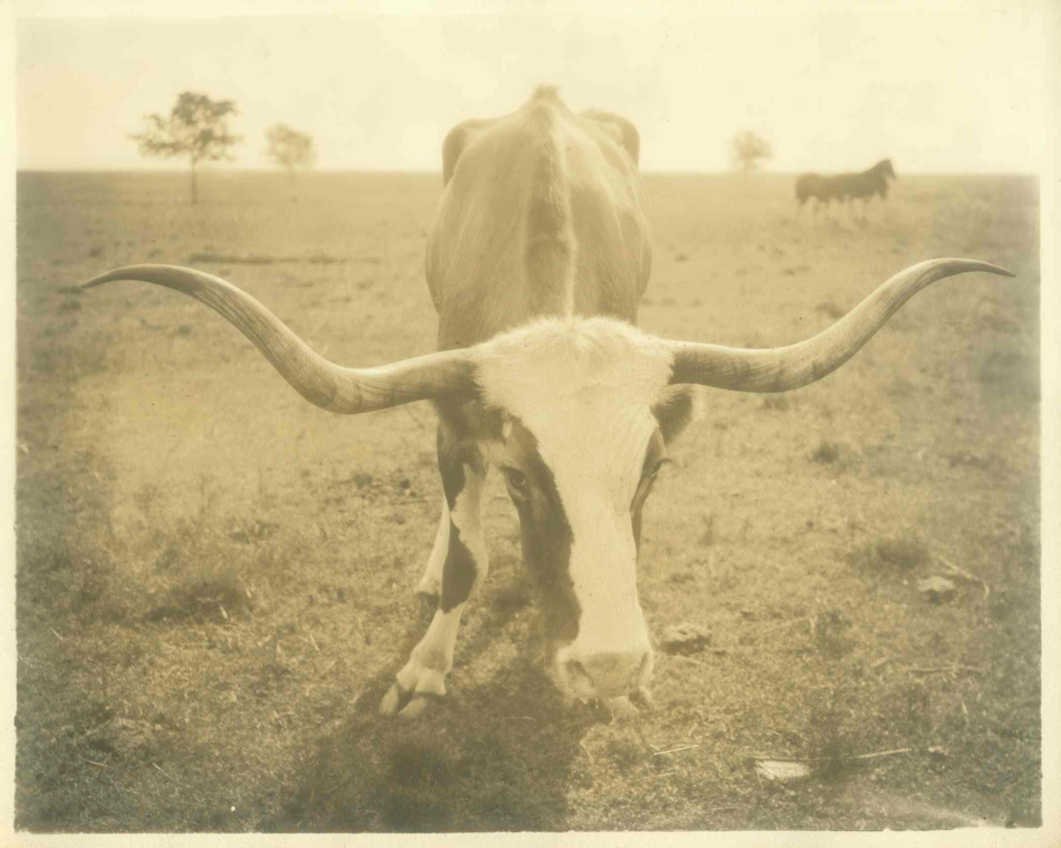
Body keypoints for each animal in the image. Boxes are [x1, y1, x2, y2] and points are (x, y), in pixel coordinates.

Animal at [85, 87, 1010, 719]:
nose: (609, 665)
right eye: (524, 480)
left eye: (652, 474)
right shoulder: (454, 426)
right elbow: (465, 558)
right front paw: (426, 666)